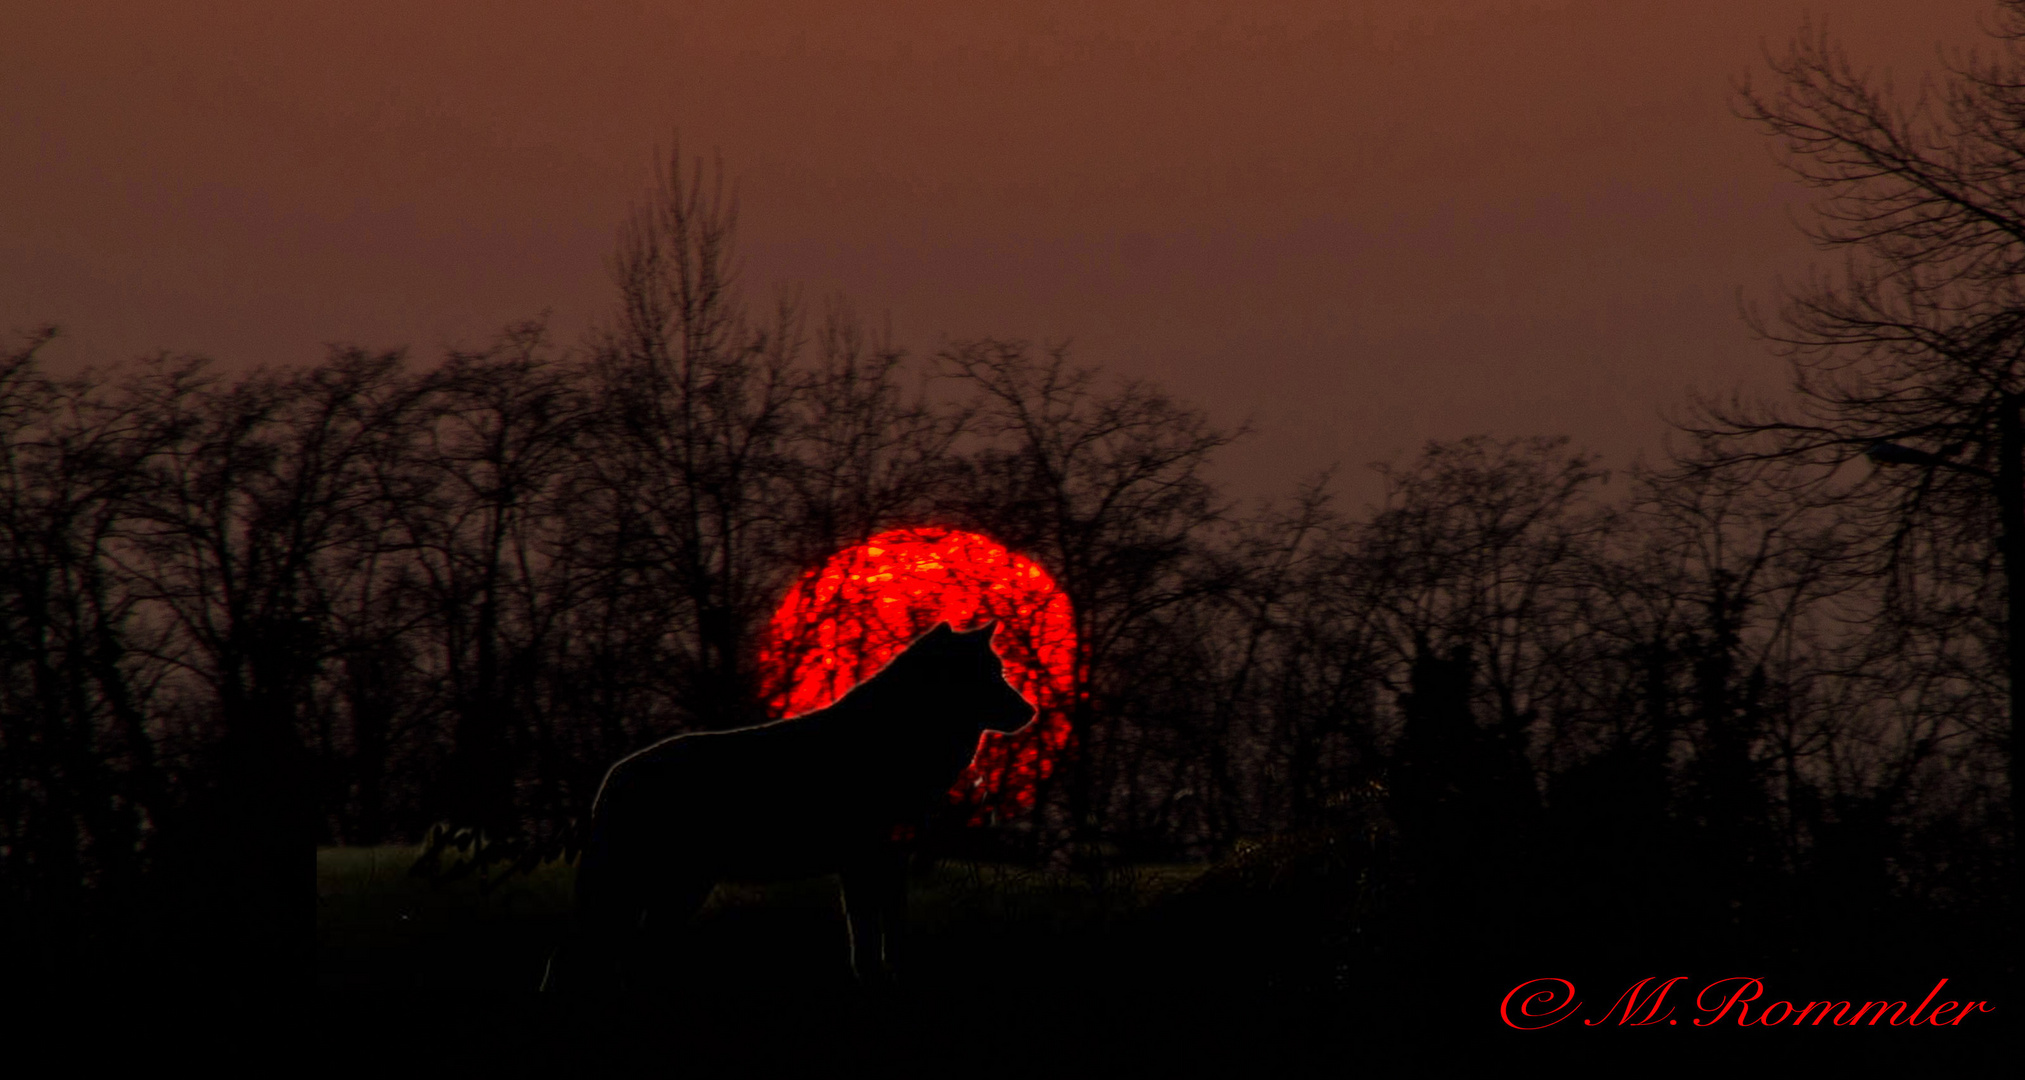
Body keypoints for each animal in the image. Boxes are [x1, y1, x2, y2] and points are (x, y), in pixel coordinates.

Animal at [538, 620, 1036, 988]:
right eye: (992, 675)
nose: (1031, 711)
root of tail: (611, 778)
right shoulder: (862, 861)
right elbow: (867, 934)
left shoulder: (890, 860)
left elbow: (886, 934)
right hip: (647, 889)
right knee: (582, 957)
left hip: (672, 892)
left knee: (624, 954)